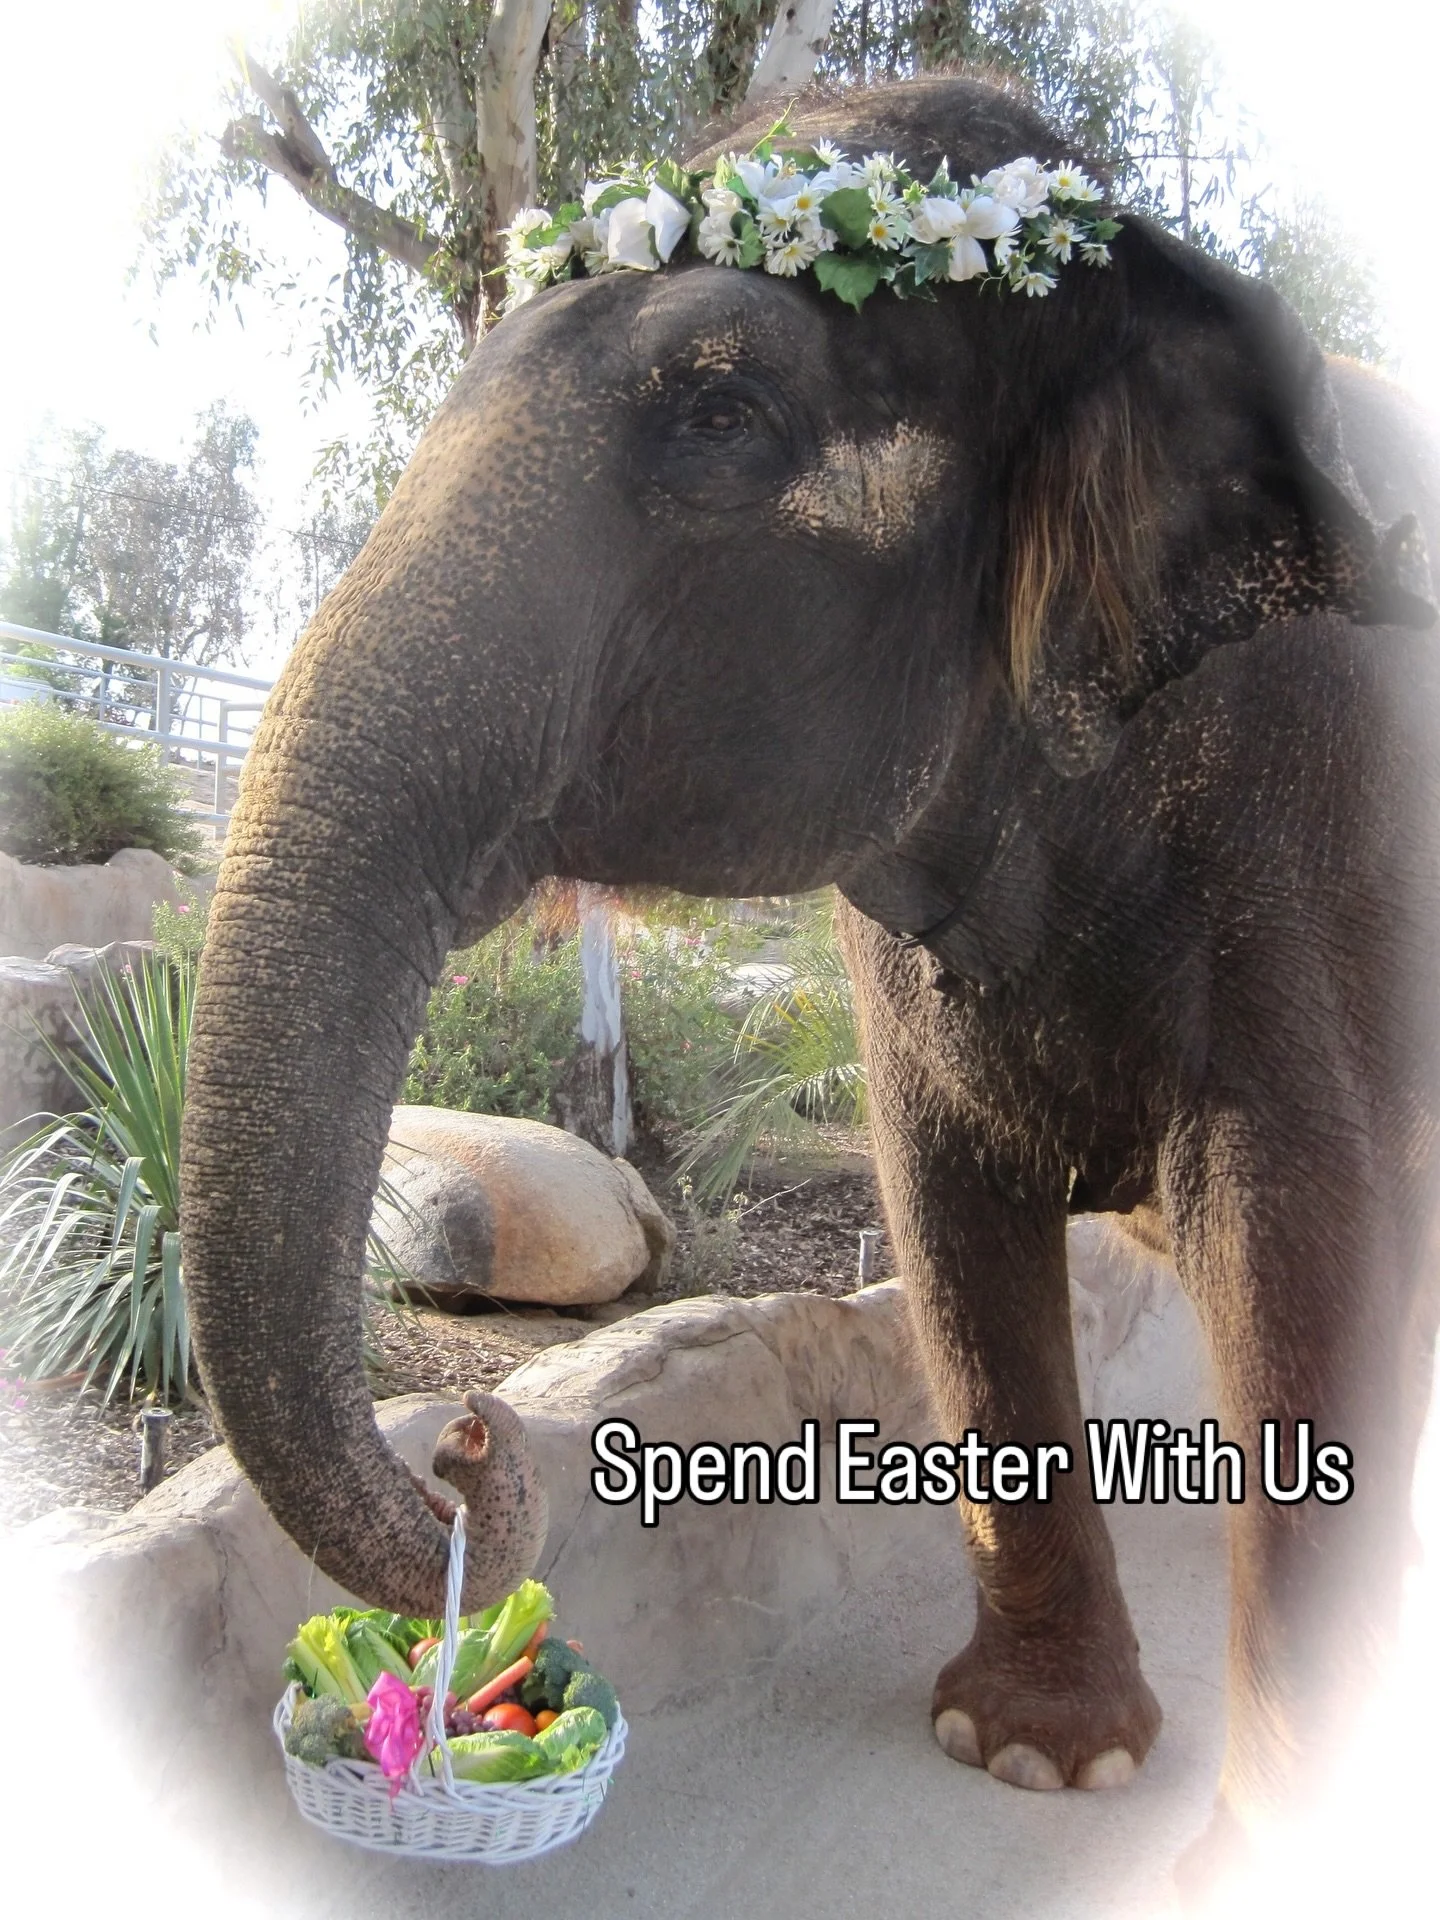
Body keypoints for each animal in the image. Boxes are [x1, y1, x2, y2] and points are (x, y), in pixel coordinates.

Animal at [179, 74, 1440, 1899]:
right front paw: (1029, 1752)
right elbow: (950, 1232)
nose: (471, 1445)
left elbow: (1295, 1252)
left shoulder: (1316, 835)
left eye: (722, 413)